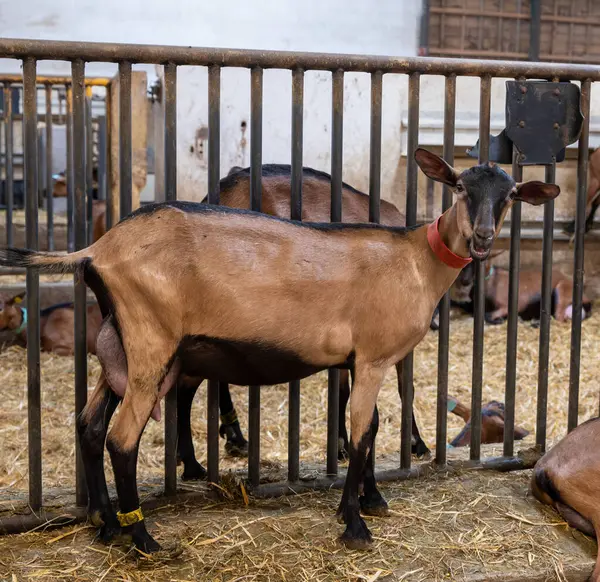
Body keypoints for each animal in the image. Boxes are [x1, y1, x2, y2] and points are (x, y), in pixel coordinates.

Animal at [2, 148, 560, 556]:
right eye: (460, 187)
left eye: (511, 195)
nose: (481, 238)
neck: (414, 259)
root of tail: (97, 250)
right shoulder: (375, 356)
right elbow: (363, 431)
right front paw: (355, 523)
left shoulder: (358, 360)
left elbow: (367, 425)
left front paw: (370, 500)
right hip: (150, 343)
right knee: (121, 438)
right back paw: (143, 539)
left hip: (121, 346)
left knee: (90, 424)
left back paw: (106, 524)